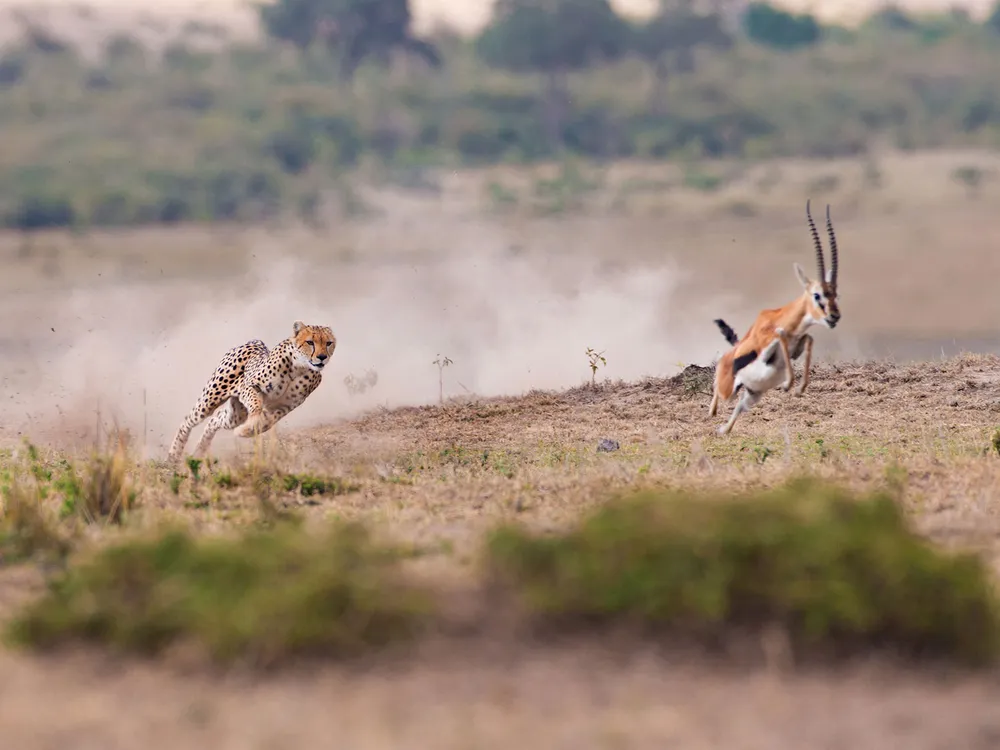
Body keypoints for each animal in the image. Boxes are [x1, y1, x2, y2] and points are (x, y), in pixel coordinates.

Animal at [165, 322, 336, 468]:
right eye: (310, 342)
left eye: (328, 343)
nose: (322, 357)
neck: (300, 367)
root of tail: (254, 341)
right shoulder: (249, 386)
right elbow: (256, 404)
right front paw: (252, 420)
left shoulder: (282, 407)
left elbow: (266, 423)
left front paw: (246, 430)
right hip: (211, 398)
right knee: (188, 420)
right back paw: (173, 454)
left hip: (235, 415)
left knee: (215, 420)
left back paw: (200, 450)